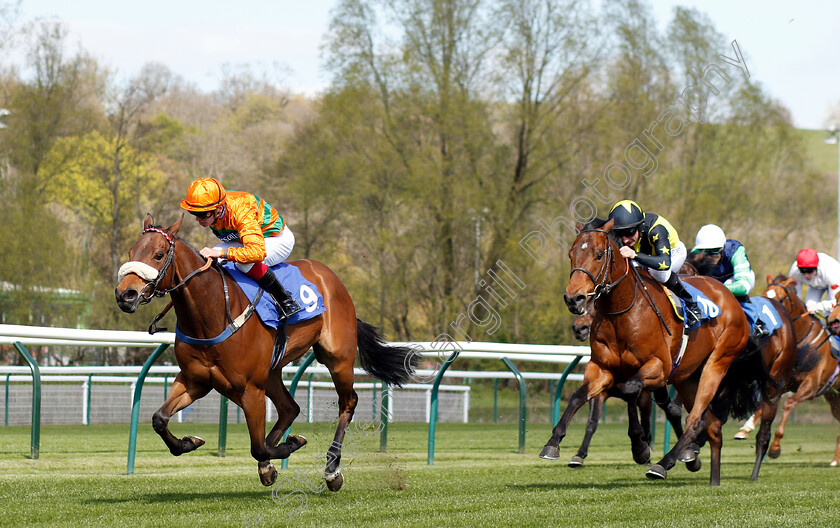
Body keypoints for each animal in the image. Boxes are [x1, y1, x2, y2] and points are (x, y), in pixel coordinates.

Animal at [116, 217, 418, 488]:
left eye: (158, 254)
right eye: (131, 252)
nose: (125, 295)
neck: (212, 314)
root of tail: (332, 278)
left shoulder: (250, 388)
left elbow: (258, 446)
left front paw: (291, 444)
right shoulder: (195, 380)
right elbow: (159, 419)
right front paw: (189, 442)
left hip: (337, 358)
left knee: (347, 403)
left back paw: (331, 469)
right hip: (272, 371)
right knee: (289, 408)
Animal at [540, 217, 752, 484]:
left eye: (598, 255)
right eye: (571, 254)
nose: (573, 299)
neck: (622, 311)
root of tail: (730, 297)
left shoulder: (659, 368)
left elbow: (630, 390)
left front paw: (641, 447)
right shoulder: (601, 367)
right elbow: (580, 396)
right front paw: (553, 442)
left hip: (717, 363)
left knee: (695, 419)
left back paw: (664, 463)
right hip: (687, 377)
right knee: (708, 422)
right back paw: (699, 465)